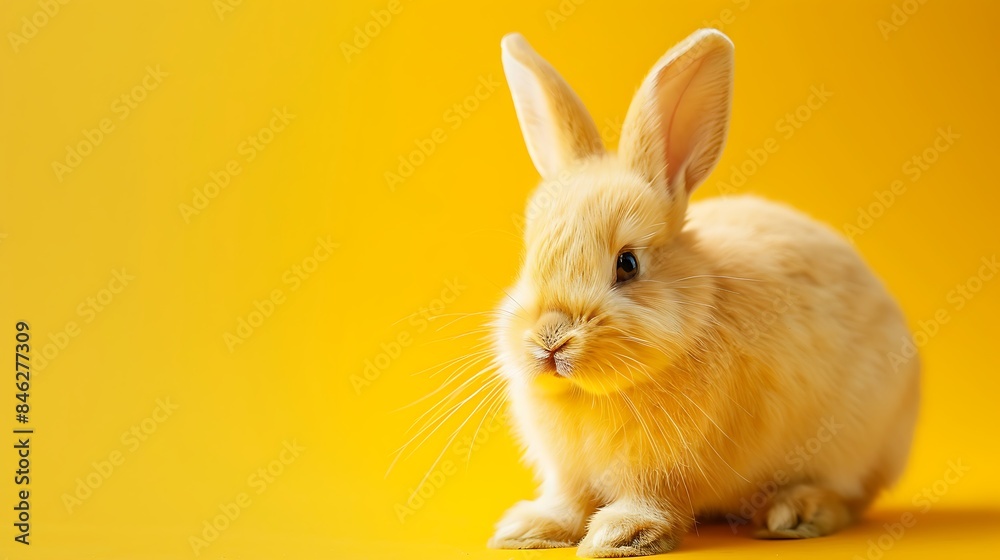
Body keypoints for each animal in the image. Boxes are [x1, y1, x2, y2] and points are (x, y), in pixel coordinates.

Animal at [486, 29, 920, 557]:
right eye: (529, 256)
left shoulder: (662, 469)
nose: (549, 341)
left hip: (853, 441)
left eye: (627, 264)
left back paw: (795, 512)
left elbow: (650, 498)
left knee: (848, 493)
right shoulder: (568, 472)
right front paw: (528, 529)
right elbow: (569, 501)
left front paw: (621, 536)